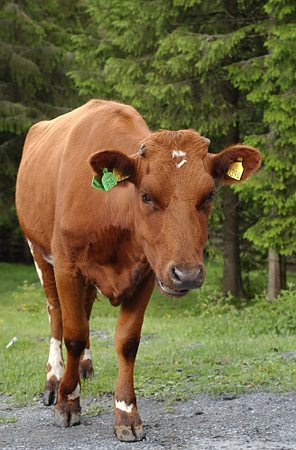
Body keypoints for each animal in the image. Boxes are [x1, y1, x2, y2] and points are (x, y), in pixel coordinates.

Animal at [16, 100, 262, 442]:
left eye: (209, 195)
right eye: (146, 195)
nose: (187, 274)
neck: (111, 209)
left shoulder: (147, 272)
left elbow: (127, 341)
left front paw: (126, 412)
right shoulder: (67, 264)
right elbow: (74, 334)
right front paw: (68, 402)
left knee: (85, 310)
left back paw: (84, 368)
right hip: (38, 250)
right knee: (56, 314)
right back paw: (54, 379)